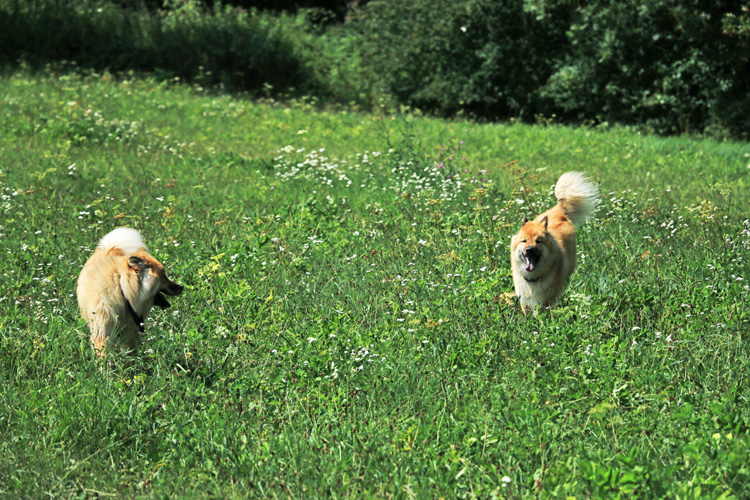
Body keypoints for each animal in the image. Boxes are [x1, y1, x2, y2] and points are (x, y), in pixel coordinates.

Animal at [76, 228, 184, 356]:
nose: (182, 287)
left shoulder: (131, 331)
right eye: (164, 276)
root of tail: (111, 248)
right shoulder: (102, 332)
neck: (121, 289)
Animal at [512, 172, 600, 312]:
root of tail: (559, 209)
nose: (530, 249)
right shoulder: (523, 297)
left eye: (538, 241)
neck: (532, 278)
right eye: (524, 241)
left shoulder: (543, 301)